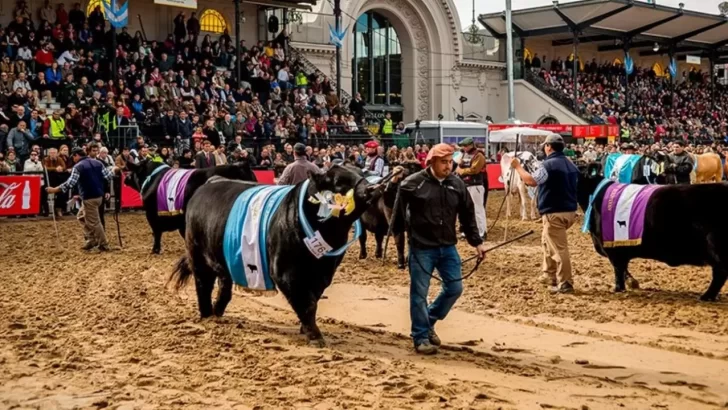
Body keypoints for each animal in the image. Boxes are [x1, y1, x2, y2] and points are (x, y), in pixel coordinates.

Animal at [126, 160, 258, 253]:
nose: (126, 178)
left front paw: (155, 250)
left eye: (133, 171)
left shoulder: (152, 215)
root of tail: (239, 166)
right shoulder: (181, 221)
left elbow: (157, 233)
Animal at [170, 165, 390, 344]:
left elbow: (313, 299)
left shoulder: (324, 273)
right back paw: (207, 315)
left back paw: (217, 311)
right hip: (197, 255)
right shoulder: (285, 271)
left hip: (223, 259)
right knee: (203, 284)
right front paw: (315, 336)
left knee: (224, 285)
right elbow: (306, 303)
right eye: (338, 182)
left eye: (360, 173)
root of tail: (212, 181)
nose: (372, 187)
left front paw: (305, 329)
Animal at [576, 163, 728, 302]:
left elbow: (618, 269)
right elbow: (623, 268)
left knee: (720, 272)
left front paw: (619, 289)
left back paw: (706, 296)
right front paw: (632, 283)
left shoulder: (612, 248)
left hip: (715, 246)